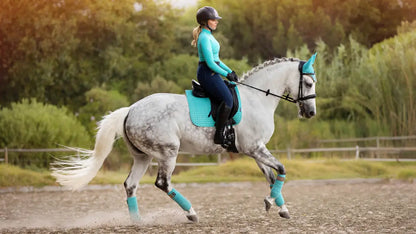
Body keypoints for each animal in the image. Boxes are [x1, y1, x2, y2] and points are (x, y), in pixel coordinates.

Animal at [52, 54, 318, 223]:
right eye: (307, 82)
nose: (310, 113)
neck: (257, 99)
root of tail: (130, 110)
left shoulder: (254, 150)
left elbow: (272, 176)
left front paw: (280, 207)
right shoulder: (255, 148)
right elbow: (281, 169)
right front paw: (271, 202)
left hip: (143, 157)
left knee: (130, 185)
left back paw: (138, 221)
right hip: (168, 152)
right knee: (163, 183)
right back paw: (191, 213)